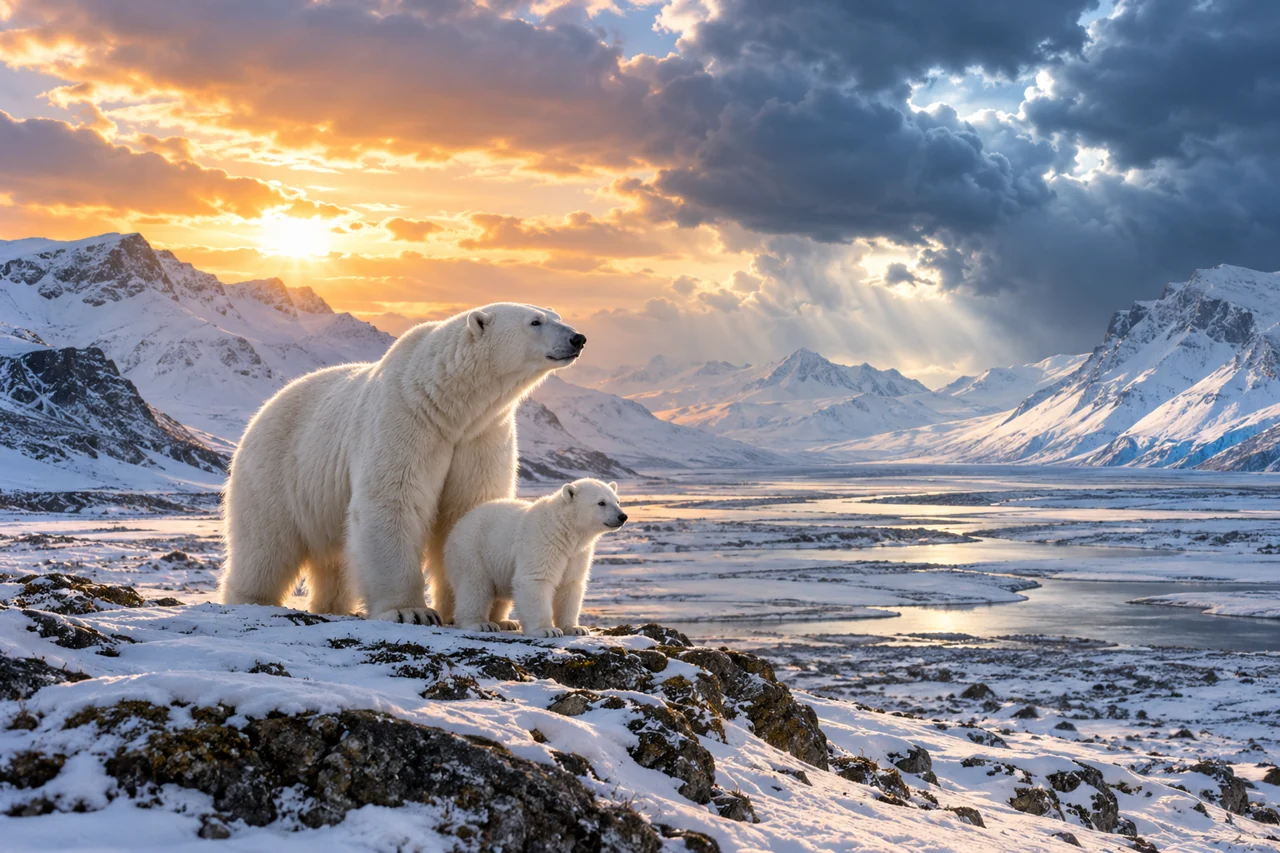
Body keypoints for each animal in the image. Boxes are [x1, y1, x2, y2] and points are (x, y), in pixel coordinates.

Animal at [218, 303, 586, 624]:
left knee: (333, 559)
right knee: (265, 545)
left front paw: (489, 615)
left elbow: (468, 509)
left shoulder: (482, 435)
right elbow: (394, 499)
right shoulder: (406, 419)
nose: (577, 338)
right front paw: (411, 611)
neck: (448, 403)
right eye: (535, 321)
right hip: (277, 469)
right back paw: (251, 598)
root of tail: (264, 409)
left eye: (556, 315)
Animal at [442, 478, 627, 637]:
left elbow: (570, 584)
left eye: (617, 501)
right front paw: (547, 630)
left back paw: (505, 622)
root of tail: (459, 523)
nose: (622, 516)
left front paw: (576, 628)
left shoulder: (576, 553)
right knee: (474, 585)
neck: (565, 530)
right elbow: (536, 579)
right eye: (601, 502)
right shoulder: (542, 541)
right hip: (472, 549)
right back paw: (480, 623)